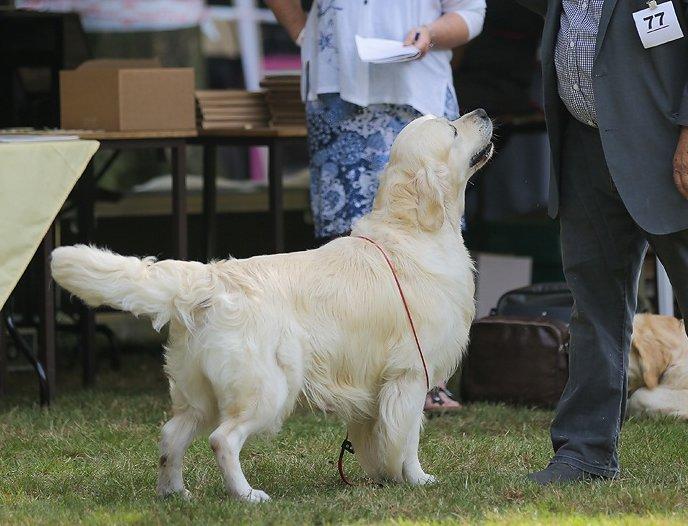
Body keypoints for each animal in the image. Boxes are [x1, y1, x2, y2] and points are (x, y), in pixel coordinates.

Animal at [52, 108, 494, 504]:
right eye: (452, 130)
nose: (483, 111)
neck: (415, 229)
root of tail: (208, 280)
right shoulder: (410, 375)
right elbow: (407, 439)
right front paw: (417, 480)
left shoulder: (374, 386)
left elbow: (377, 441)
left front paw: (383, 477)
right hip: (266, 387)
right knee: (222, 439)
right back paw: (247, 495)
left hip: (199, 391)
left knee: (171, 435)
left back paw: (175, 493)